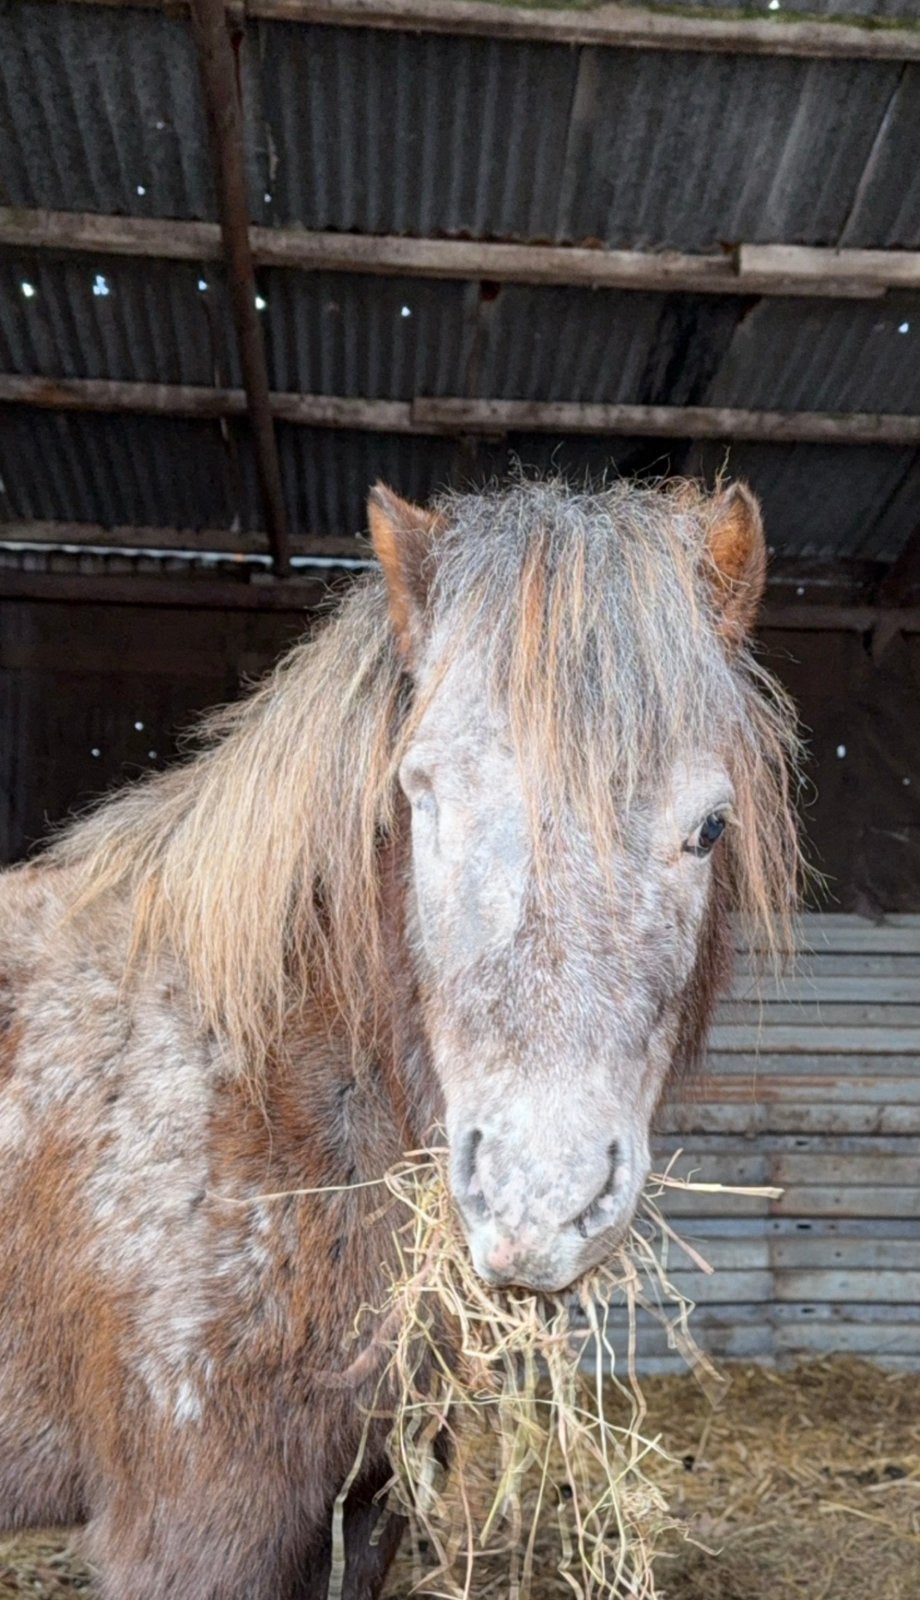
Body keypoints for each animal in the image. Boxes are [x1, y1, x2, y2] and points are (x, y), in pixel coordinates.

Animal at [0, 476, 799, 1599]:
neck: (255, 1091)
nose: (533, 1203)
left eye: (710, 826)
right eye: (423, 794)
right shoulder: (193, 1533)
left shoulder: (372, 1493)